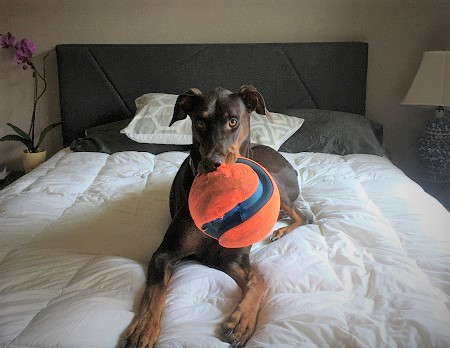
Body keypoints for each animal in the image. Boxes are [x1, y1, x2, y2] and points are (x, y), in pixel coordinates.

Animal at [123, 85, 306, 348]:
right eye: (200, 121)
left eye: (233, 121)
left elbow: (259, 280)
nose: (212, 164)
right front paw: (144, 328)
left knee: (303, 216)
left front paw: (242, 321)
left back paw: (280, 230)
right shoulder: (164, 255)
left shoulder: (233, 259)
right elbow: (154, 292)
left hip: (272, 181)